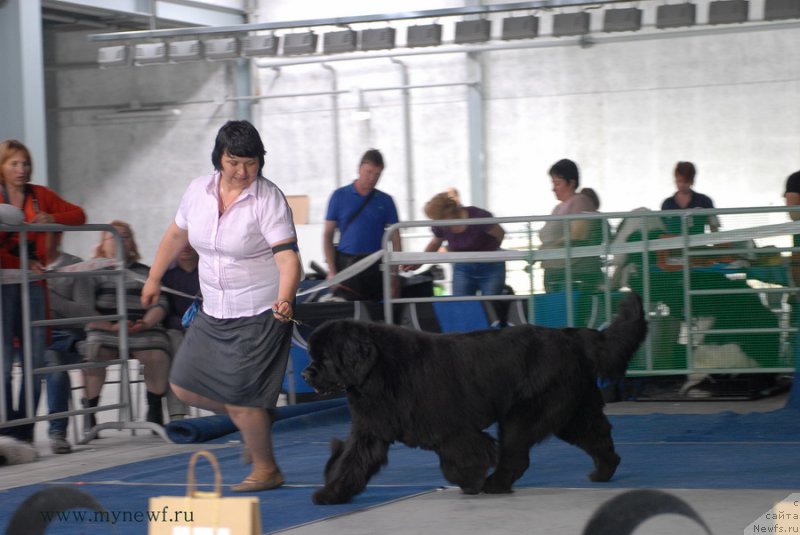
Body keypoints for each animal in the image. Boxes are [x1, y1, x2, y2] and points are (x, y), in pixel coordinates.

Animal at [304, 294, 648, 506]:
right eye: (312, 356)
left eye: (324, 358)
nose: (306, 374)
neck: (377, 371)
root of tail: (570, 335)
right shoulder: (370, 431)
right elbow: (351, 463)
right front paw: (331, 493)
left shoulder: (453, 430)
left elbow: (463, 457)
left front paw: (469, 482)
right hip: (572, 412)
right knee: (597, 436)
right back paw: (604, 471)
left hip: (525, 413)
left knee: (516, 454)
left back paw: (494, 484)